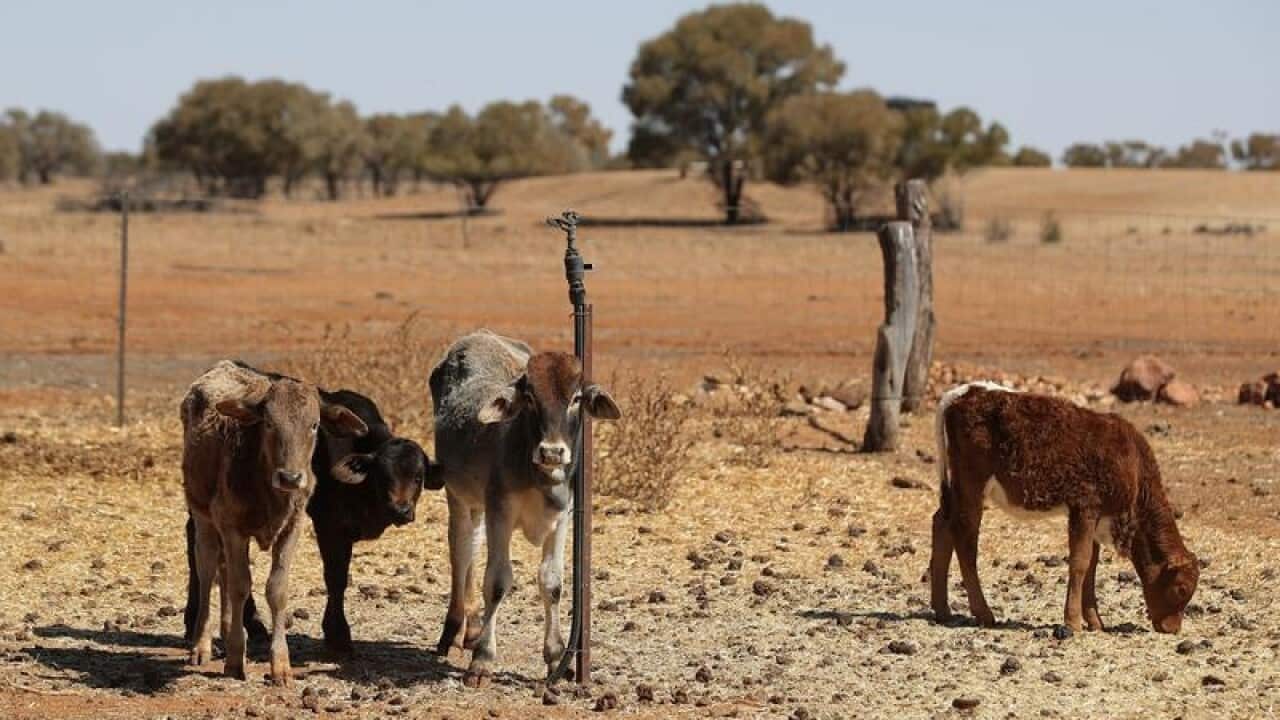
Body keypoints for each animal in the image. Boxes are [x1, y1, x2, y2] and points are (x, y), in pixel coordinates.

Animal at [182, 361, 367, 685]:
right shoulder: (232, 527)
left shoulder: (292, 527)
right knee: (208, 572)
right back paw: (201, 644)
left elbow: (276, 589)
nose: (290, 477)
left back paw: (227, 629)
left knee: (223, 570)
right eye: (269, 423)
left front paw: (280, 664)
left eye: (314, 425)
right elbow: (241, 586)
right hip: (202, 515)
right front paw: (235, 658)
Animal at [429, 330, 621, 686]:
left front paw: (556, 657)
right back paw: (454, 629)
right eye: (530, 397)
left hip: (477, 504)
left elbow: (552, 582)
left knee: (471, 546)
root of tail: (477, 336)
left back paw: (473, 628)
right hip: (458, 496)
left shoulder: (562, 518)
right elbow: (497, 582)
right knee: (461, 553)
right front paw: (482, 660)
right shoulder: (500, 513)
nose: (552, 452)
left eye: (576, 398)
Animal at [929, 382, 1199, 634]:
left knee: (942, 523)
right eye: (1181, 589)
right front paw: (1073, 621)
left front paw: (1095, 621)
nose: (1173, 628)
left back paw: (942, 610)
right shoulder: (1085, 506)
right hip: (972, 485)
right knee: (965, 537)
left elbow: (1091, 565)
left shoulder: (1097, 516)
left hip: (956, 488)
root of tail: (963, 392)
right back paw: (983, 613)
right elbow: (1080, 563)